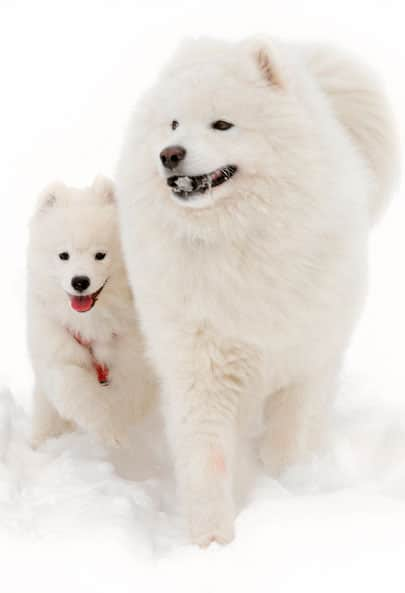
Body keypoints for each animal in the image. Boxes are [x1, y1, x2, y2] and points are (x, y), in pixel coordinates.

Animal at [27, 178, 156, 446]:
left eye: (100, 255)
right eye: (63, 255)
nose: (79, 281)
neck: (91, 321)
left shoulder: (134, 355)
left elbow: (132, 394)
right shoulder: (56, 346)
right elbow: (74, 388)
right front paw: (110, 429)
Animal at [115, 38, 400, 544]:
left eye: (222, 124)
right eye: (173, 123)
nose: (169, 154)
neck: (236, 240)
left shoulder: (302, 364)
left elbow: (287, 439)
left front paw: (282, 491)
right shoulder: (198, 365)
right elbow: (206, 458)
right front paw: (211, 541)